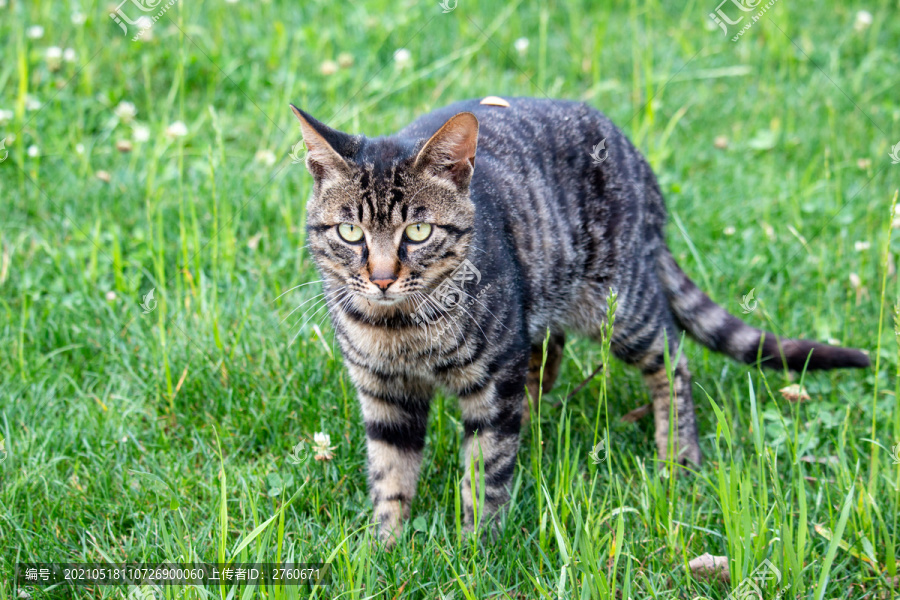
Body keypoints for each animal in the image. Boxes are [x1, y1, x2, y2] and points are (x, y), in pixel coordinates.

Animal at [288, 96, 864, 548]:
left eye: (419, 231)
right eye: (349, 233)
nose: (383, 277)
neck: (400, 329)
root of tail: (636, 158)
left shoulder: (493, 380)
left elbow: (485, 472)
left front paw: (474, 550)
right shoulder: (383, 392)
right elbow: (390, 472)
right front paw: (384, 545)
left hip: (620, 307)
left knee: (672, 360)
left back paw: (677, 457)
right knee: (549, 355)